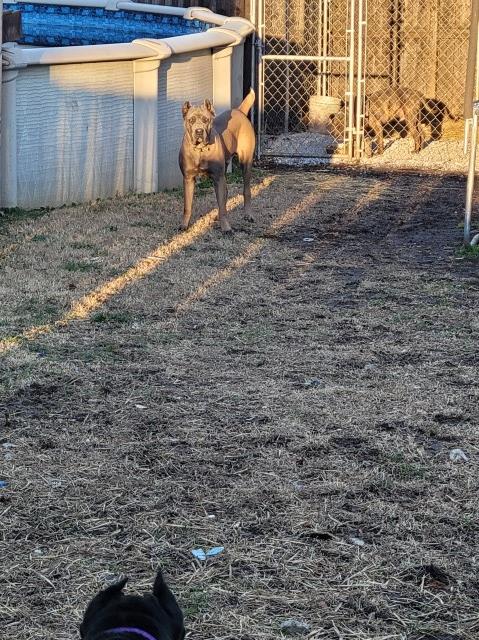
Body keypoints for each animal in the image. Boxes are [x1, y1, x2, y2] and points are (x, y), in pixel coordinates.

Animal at [179, 89, 256, 231]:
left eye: (205, 120)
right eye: (191, 120)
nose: (199, 131)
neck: (200, 150)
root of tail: (239, 111)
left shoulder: (218, 177)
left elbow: (222, 204)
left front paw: (225, 227)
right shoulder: (188, 179)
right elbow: (187, 205)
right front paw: (184, 225)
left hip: (246, 162)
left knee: (246, 191)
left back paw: (248, 214)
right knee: (224, 195)